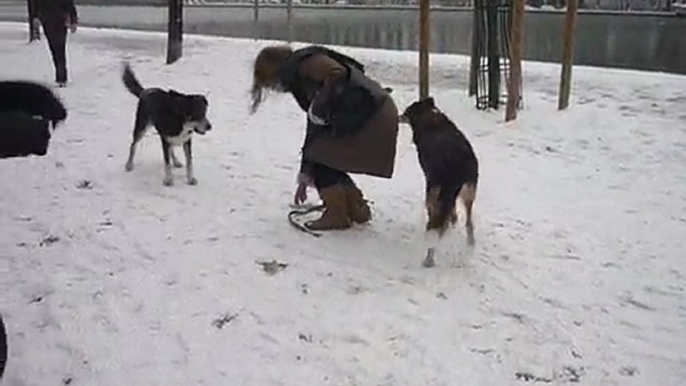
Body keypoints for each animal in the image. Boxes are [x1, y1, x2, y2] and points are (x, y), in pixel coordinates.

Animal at [400, 96, 482, 268]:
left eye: (406, 112)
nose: (399, 116)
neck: (429, 117)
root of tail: (459, 164)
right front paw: (454, 219)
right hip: (469, 191)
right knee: (468, 222)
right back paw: (470, 242)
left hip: (435, 191)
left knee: (436, 224)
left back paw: (429, 258)